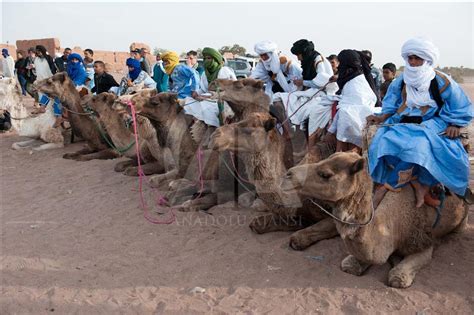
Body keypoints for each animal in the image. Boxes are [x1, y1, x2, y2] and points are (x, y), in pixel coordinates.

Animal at [280, 152, 468, 288]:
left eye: (325, 174)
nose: (288, 174)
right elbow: (349, 265)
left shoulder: (424, 242)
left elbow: (397, 278)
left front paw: (399, 275)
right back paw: (298, 239)